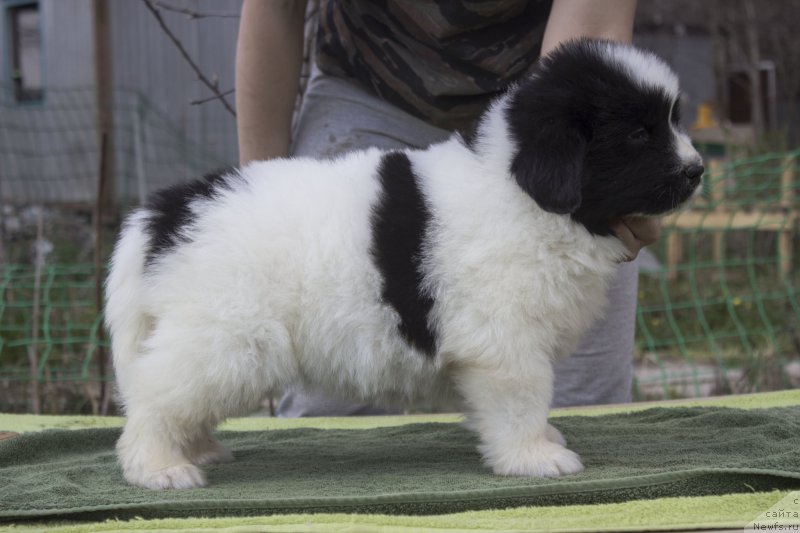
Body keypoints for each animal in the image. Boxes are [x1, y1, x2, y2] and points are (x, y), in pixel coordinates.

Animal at [104, 39, 700, 488]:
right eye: (639, 134)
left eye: (671, 120)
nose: (697, 171)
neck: (522, 190)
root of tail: (168, 211)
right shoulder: (504, 342)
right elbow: (523, 398)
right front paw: (534, 457)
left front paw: (540, 442)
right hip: (227, 338)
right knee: (156, 397)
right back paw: (160, 466)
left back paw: (198, 448)